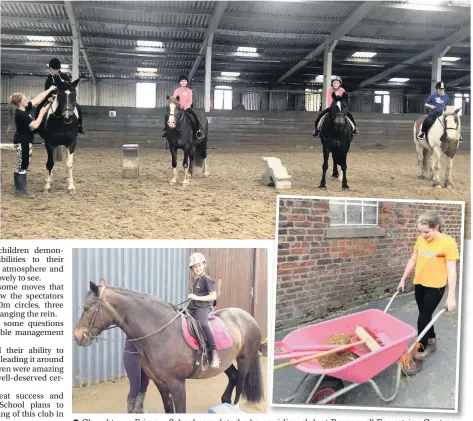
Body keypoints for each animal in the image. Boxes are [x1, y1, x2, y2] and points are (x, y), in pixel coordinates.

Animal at [74, 278, 266, 414]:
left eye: (86, 308)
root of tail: (248, 317)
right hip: (225, 362)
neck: (161, 332)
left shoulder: (177, 384)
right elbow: (168, 409)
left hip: (244, 360)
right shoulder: (160, 382)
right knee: (232, 376)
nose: (76, 337)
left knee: (239, 383)